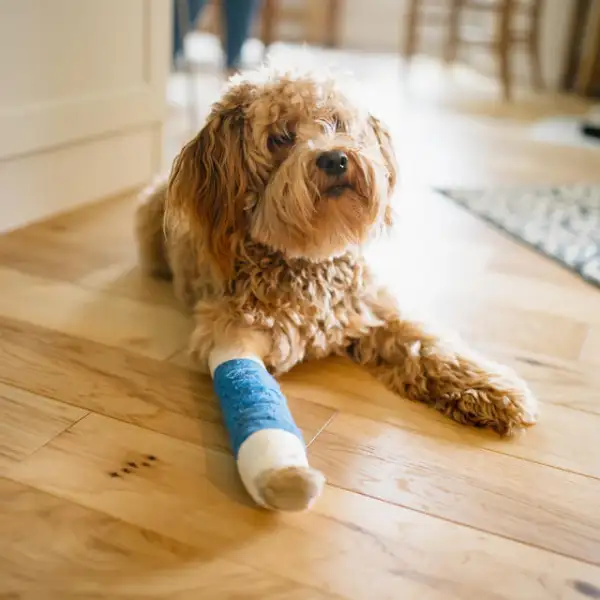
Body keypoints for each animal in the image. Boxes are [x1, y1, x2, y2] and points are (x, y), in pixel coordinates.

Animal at [136, 62, 540, 510]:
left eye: (337, 122)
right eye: (280, 137)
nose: (334, 157)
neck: (308, 260)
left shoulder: (376, 310)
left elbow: (432, 346)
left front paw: (491, 389)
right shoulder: (231, 331)